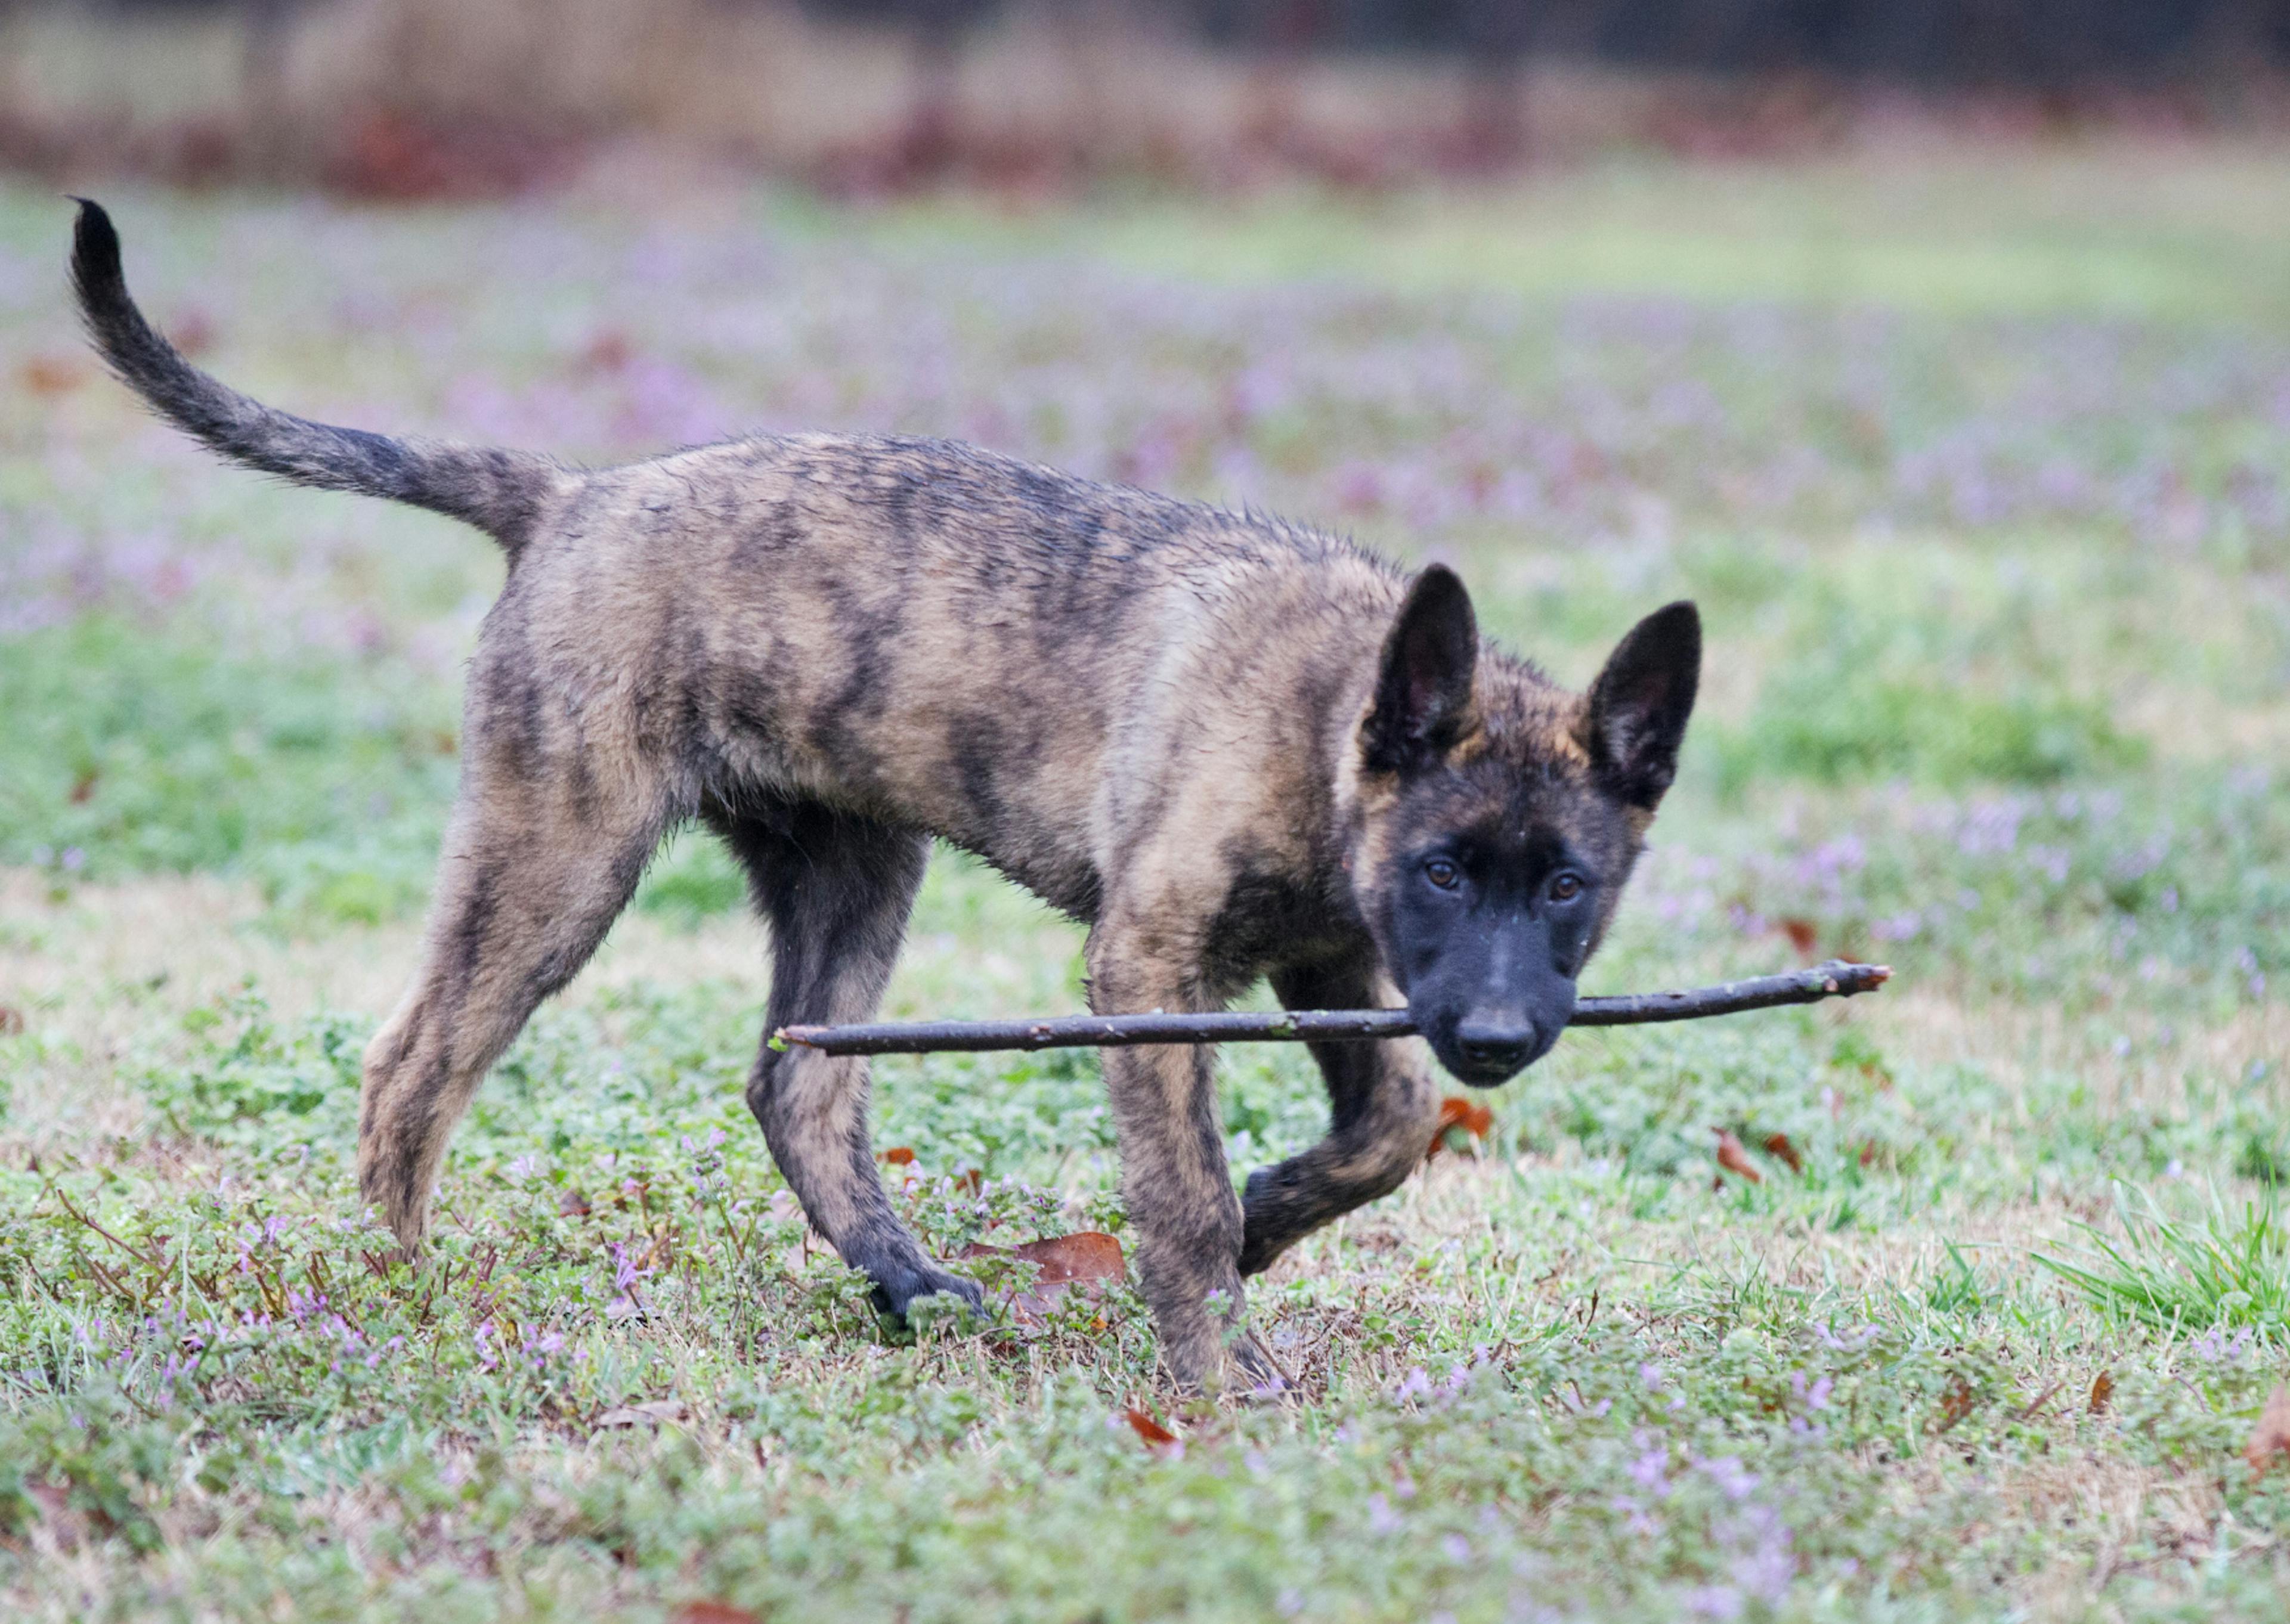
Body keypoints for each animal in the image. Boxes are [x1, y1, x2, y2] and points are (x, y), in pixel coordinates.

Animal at [67, 199, 1703, 1392]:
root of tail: (570, 496)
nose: (1503, 1036)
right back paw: (403, 1290)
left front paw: (1270, 1220)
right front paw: (1220, 1366)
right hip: (559, 857)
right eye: (1445, 870)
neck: (1321, 715)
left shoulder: (1332, 962)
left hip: (854, 872)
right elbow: (1180, 1189)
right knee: (414, 1064)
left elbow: (1392, 1123)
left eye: (1568, 885)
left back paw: (905, 1284)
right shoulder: (1151, 967)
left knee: (795, 1084)